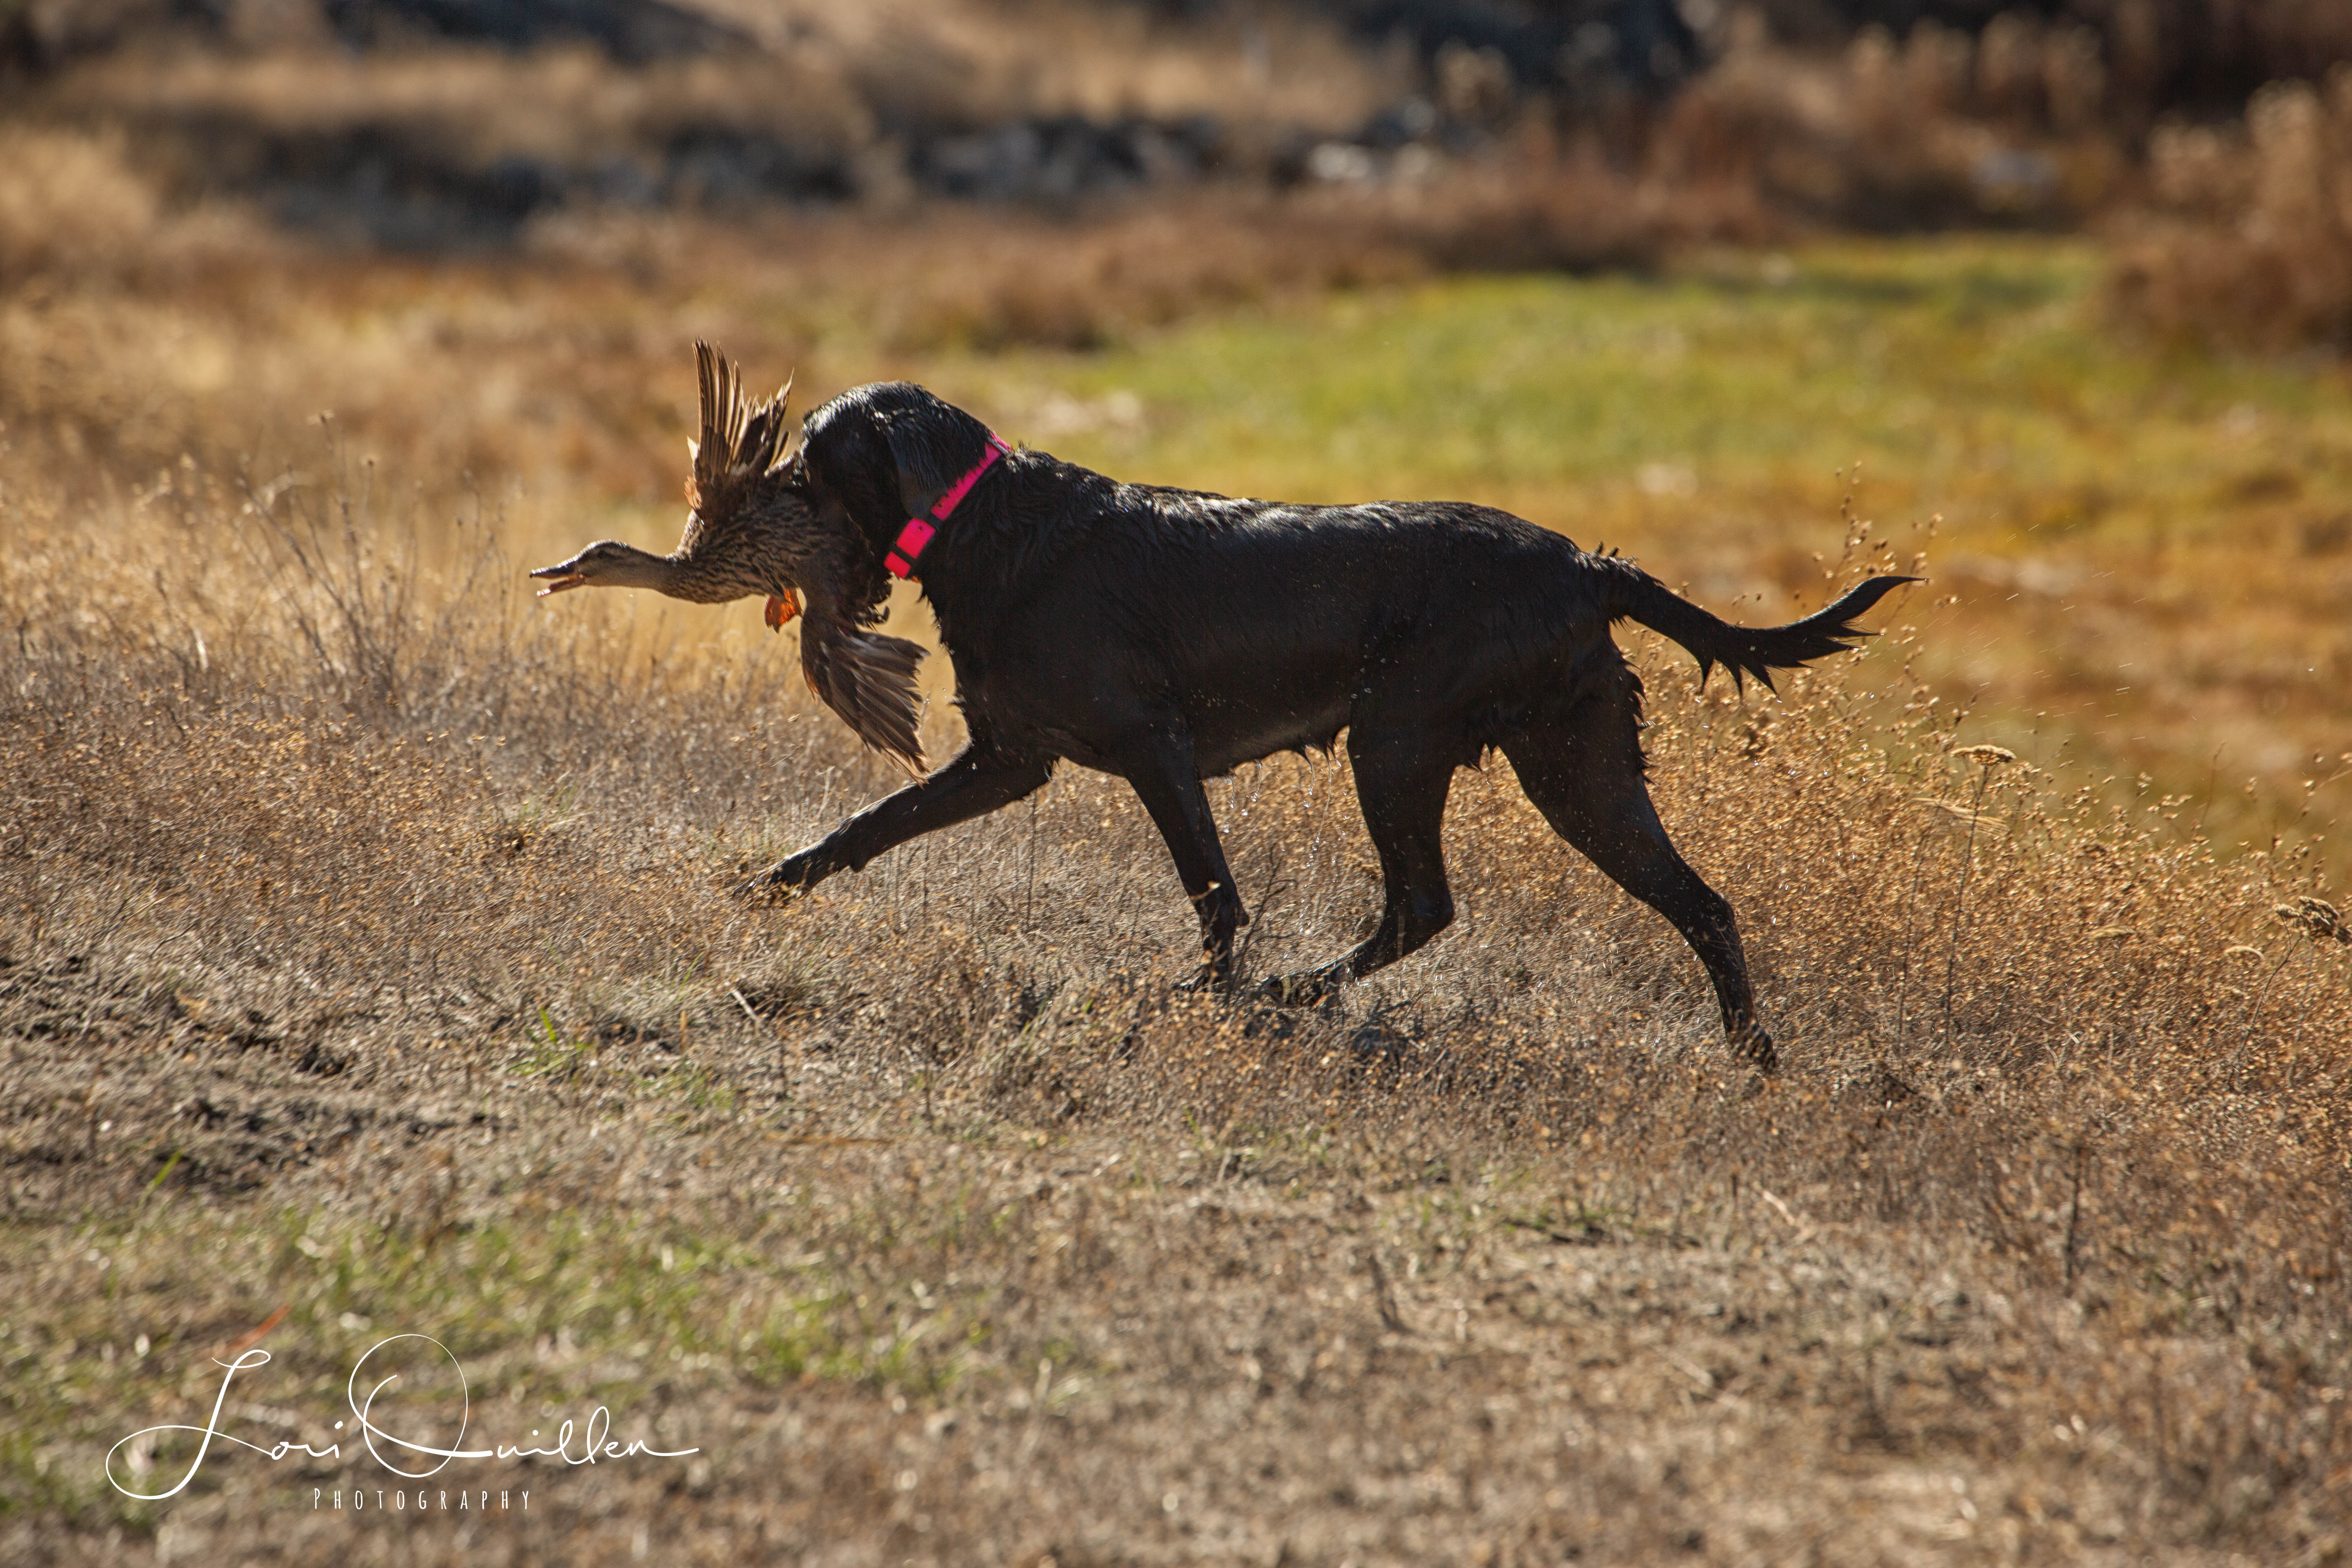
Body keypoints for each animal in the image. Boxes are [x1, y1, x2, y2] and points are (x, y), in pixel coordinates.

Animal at [753, 376, 1910, 1081]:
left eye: (807, 461)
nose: (751, 494)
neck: (992, 525)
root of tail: (1585, 565)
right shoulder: (1007, 758)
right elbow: (867, 824)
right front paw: (767, 888)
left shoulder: (1151, 750)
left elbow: (1213, 893)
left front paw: (1208, 993)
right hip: (1573, 767)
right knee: (1693, 903)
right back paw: (1752, 1060)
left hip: (1400, 744)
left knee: (1426, 903)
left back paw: (1290, 989)